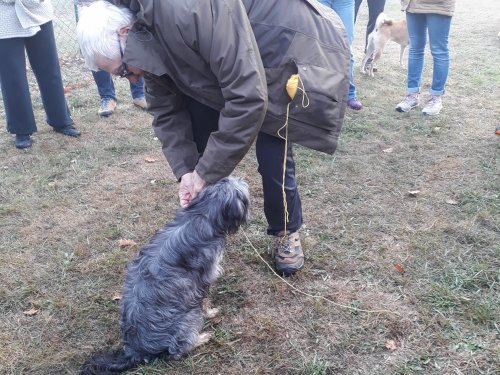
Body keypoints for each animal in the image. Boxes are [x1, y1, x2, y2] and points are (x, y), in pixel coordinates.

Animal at [81, 178, 250, 374]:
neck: (200, 214)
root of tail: (134, 350)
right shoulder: (203, 279)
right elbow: (205, 301)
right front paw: (210, 312)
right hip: (189, 317)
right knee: (177, 350)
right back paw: (201, 338)